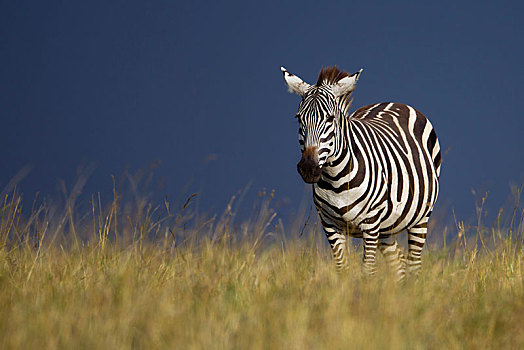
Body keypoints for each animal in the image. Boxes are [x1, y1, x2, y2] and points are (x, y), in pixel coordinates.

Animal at [280, 65, 440, 282]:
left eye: (330, 118)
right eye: (299, 118)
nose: (308, 168)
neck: (335, 178)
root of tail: (393, 102)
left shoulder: (371, 223)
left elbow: (368, 270)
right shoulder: (329, 223)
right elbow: (342, 268)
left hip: (420, 217)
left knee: (414, 264)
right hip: (387, 227)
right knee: (398, 265)